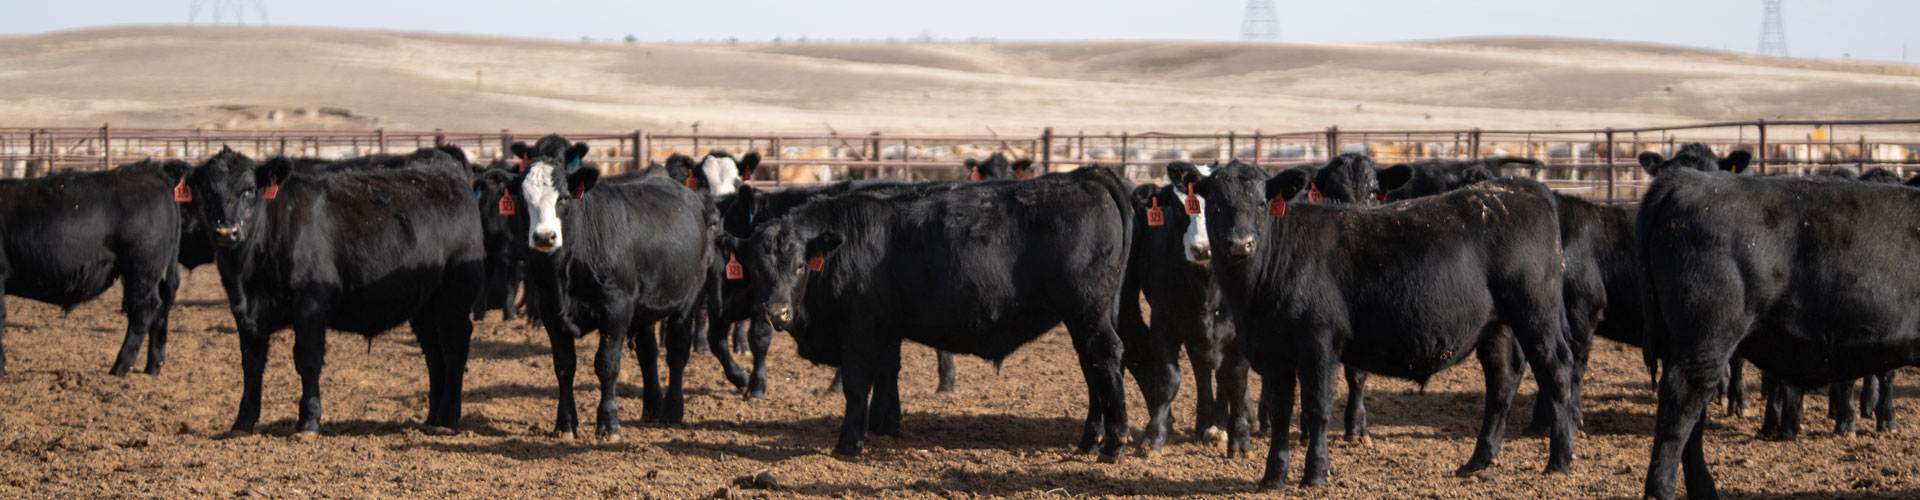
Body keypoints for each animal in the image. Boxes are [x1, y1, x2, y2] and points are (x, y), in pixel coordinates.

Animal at [0, 159, 191, 375]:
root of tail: (152, 170)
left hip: (141, 268)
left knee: (143, 310)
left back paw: (120, 367)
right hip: (150, 273)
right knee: (160, 306)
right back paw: (153, 366)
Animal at [187, 144, 483, 432]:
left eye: (248, 189)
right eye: (207, 191)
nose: (227, 232)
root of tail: (445, 167)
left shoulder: (310, 304)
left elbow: (307, 359)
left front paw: (308, 420)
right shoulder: (243, 310)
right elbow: (251, 364)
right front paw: (243, 422)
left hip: (454, 294)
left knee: (454, 344)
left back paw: (448, 417)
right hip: (424, 304)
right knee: (434, 351)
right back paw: (434, 417)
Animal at [506, 134, 718, 434]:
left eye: (565, 197)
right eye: (524, 199)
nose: (544, 237)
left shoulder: (616, 309)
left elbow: (606, 365)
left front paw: (608, 423)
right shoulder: (551, 311)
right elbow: (564, 366)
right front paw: (565, 423)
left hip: (691, 293)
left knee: (677, 348)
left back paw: (673, 410)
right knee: (647, 351)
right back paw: (652, 406)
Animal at [741, 167, 1136, 461]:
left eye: (798, 266)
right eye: (757, 268)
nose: (777, 312)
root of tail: (1086, 176)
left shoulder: (861, 329)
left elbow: (857, 386)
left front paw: (848, 444)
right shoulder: (887, 329)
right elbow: (888, 375)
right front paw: (886, 428)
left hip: (1087, 311)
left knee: (1105, 359)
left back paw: (1115, 443)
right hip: (1086, 317)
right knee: (1093, 367)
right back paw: (1090, 440)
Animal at [1198, 161, 1574, 488]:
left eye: (1262, 202)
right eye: (1214, 202)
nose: (1240, 243)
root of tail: (1523, 187)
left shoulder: (1319, 341)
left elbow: (1317, 409)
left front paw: (1315, 475)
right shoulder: (1273, 350)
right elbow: (1280, 413)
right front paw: (1273, 477)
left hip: (1536, 313)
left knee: (1556, 371)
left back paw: (1560, 460)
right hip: (1496, 327)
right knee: (1502, 381)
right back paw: (1478, 461)